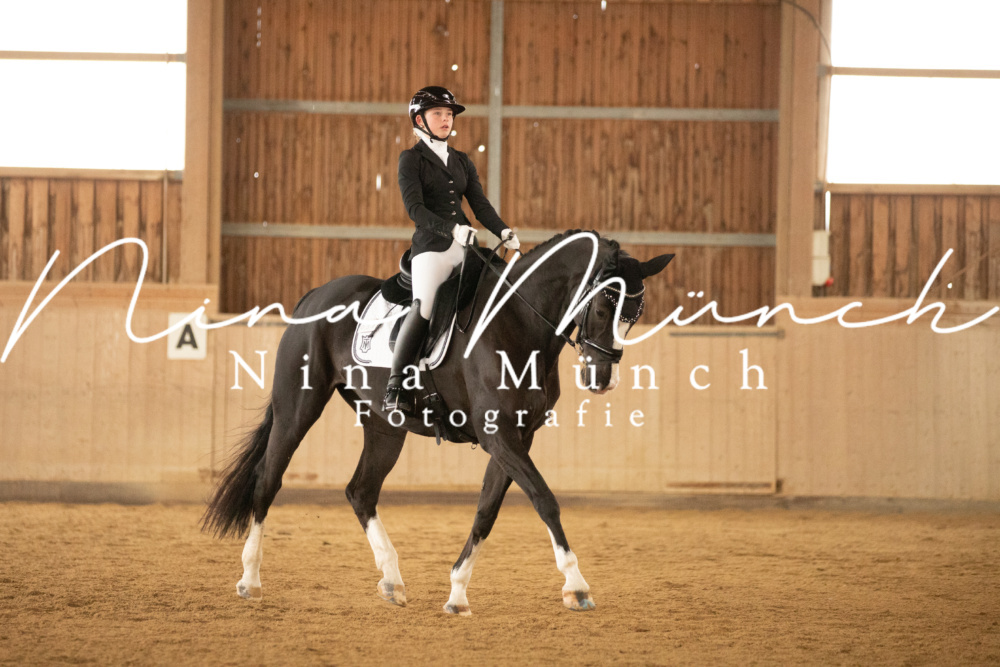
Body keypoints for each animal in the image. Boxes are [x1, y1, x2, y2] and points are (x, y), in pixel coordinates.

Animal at [202, 229, 673, 616]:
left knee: (361, 491)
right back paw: (249, 580)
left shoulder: (518, 436)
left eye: (634, 315)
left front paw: (457, 593)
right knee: (268, 481)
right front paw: (576, 586)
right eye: (604, 306)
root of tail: (315, 294)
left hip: (385, 425)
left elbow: (486, 510)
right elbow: (544, 499)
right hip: (297, 410)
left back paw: (392, 581)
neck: (517, 323)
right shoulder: (498, 434)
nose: (603, 379)